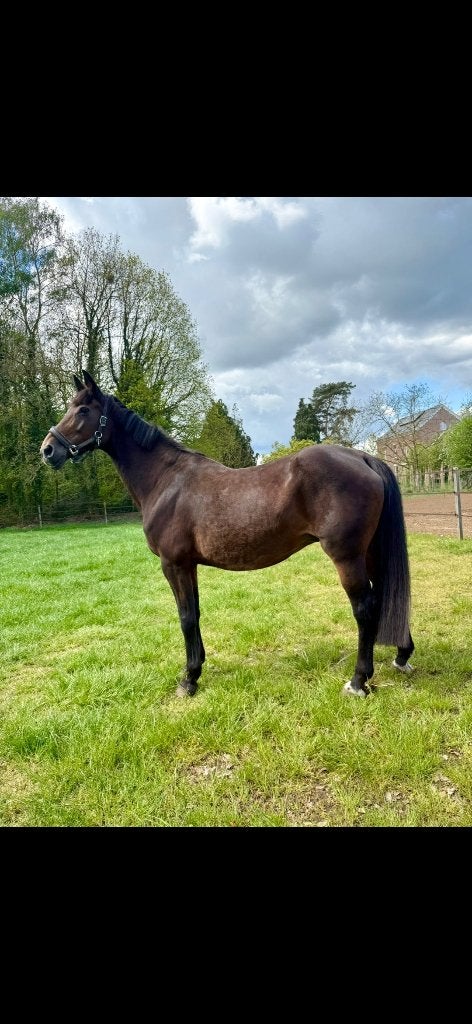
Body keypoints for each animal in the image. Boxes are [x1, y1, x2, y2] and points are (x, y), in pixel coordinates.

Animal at [40, 371, 414, 698]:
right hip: (370, 552)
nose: (47, 450)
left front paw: (188, 680)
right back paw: (401, 655)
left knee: (365, 608)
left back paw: (358, 681)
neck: (166, 480)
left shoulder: (173, 564)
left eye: (83, 410)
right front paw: (197, 667)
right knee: (386, 595)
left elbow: (186, 618)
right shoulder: (189, 565)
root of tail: (363, 457)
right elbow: (195, 613)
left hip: (347, 556)